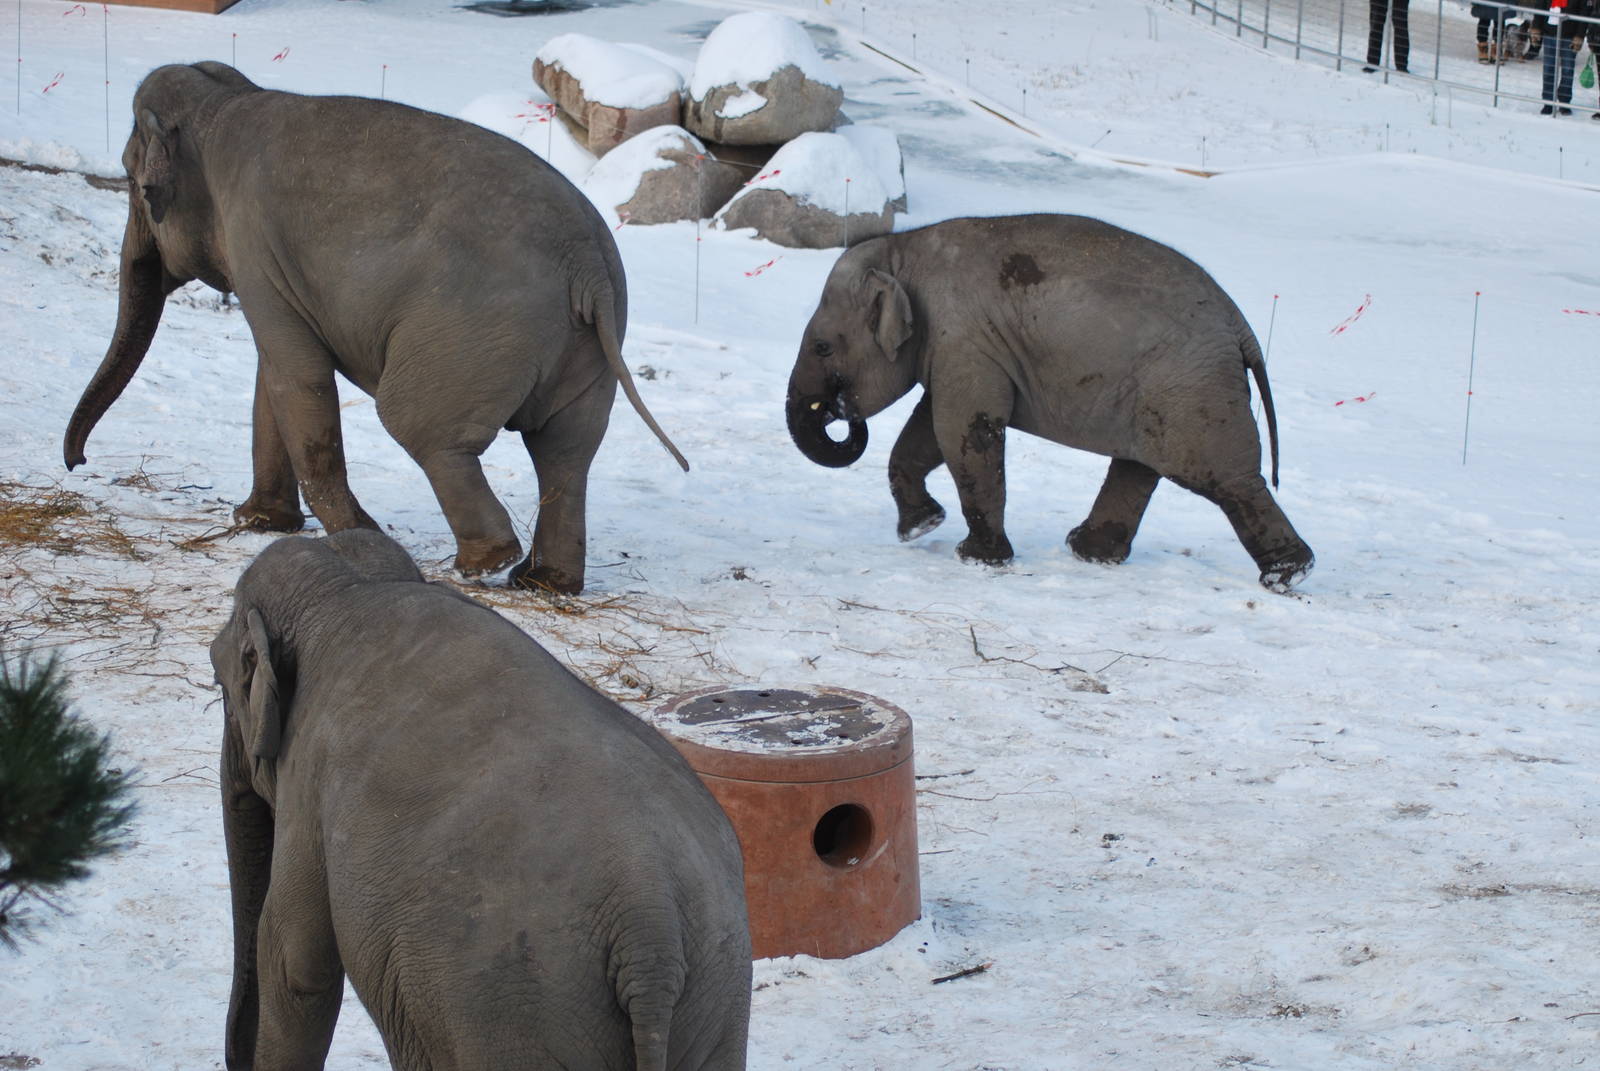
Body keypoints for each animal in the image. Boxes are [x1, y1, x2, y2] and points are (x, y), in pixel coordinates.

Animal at [64, 62, 687, 595]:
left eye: (133, 183)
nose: (79, 464)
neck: (226, 101)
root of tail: (586, 262)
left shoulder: (253, 245)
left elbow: (297, 376)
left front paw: (355, 535)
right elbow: (275, 375)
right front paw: (259, 521)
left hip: (467, 337)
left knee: (422, 428)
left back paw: (483, 564)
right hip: (589, 346)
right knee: (565, 452)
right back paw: (542, 581)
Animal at [210, 528, 751, 1070]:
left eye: (219, 681)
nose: (233, 1054)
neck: (351, 586)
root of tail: (650, 932)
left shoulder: (309, 775)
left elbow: (296, 962)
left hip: (513, 1006)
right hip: (715, 996)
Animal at [785, 214, 1314, 592]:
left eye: (822, 348)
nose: (836, 410)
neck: (903, 250)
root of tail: (1242, 329)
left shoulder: (964, 339)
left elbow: (962, 429)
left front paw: (978, 559)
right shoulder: (959, 348)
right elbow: (929, 428)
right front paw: (921, 528)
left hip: (1189, 387)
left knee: (1222, 477)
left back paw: (1288, 576)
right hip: (1162, 390)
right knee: (1138, 467)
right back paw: (1088, 552)